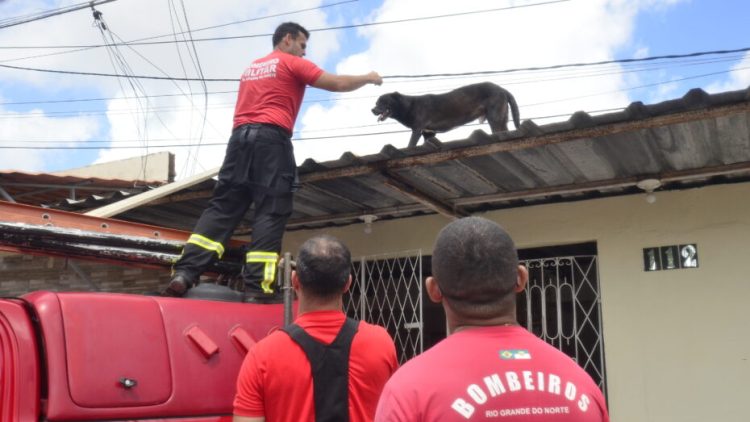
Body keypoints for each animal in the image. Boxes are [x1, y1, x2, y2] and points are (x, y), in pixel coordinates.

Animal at [372, 82, 524, 148]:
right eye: (376, 102)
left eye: (383, 102)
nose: (372, 110)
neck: (408, 105)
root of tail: (502, 88)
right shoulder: (428, 134)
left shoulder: (417, 129)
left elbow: (410, 145)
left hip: (495, 119)